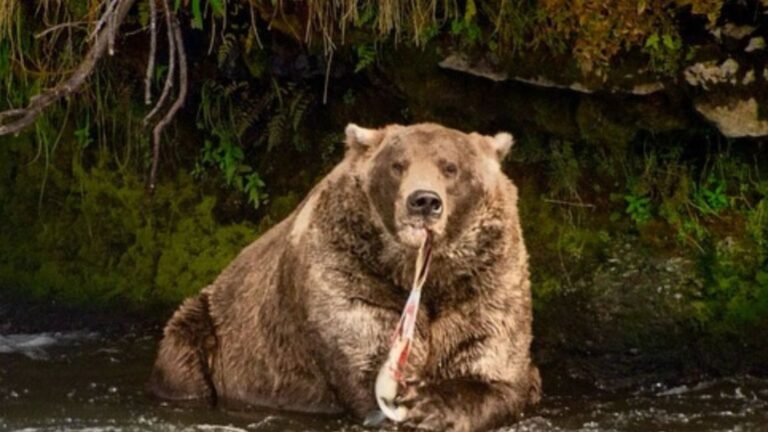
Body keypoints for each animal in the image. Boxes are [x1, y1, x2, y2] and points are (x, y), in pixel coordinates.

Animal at [148, 122, 541, 432]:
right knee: (185, 355)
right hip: (212, 330)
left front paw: (430, 405)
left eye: (450, 167)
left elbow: (490, 367)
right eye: (398, 165)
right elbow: (365, 353)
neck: (421, 275)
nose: (424, 201)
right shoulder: (350, 268)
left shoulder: (484, 279)